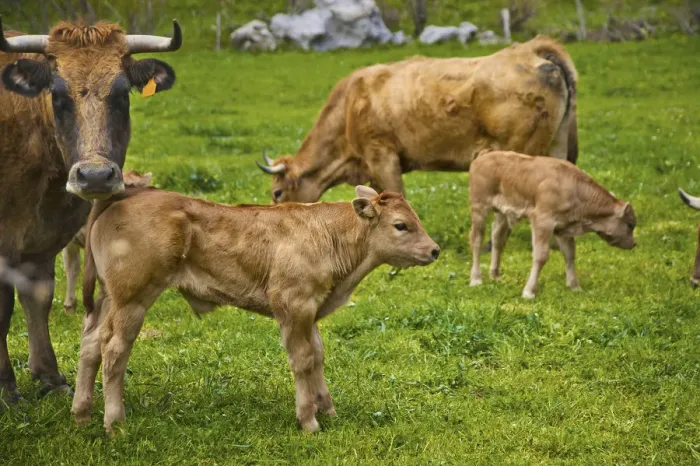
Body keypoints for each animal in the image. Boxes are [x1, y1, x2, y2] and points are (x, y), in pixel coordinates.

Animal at [71, 185, 439, 434]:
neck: (329, 236)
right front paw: (309, 419)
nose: (435, 250)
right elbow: (302, 360)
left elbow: (317, 356)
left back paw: (82, 413)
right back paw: (114, 422)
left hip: (107, 299)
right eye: (401, 225)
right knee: (114, 350)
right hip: (131, 300)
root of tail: (128, 195)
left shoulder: (311, 309)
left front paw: (327, 408)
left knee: (90, 345)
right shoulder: (292, 303)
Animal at [256, 35, 578, 204]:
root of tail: (531, 49)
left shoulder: (382, 155)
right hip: (557, 144)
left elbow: (395, 193)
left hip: (520, 150)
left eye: (277, 192)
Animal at [468, 151, 636, 299]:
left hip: (502, 213)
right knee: (476, 239)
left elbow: (569, 255)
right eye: (630, 224)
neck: (576, 189)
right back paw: (476, 279)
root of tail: (483, 156)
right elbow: (541, 256)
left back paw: (495, 276)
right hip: (479, 209)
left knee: (498, 240)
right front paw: (529, 292)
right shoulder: (543, 222)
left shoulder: (564, 228)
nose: (634, 243)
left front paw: (575, 286)